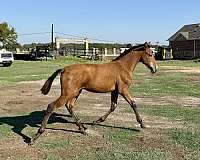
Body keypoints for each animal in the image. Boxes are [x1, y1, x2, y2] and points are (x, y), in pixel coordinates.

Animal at [29, 42, 158, 144]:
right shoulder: (123, 90)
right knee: (52, 106)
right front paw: (142, 124)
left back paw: (82, 129)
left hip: (76, 92)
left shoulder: (114, 91)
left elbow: (113, 106)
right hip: (68, 93)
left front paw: (97, 121)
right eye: (150, 54)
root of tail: (64, 69)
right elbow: (133, 103)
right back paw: (35, 136)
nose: (155, 69)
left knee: (69, 106)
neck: (123, 67)